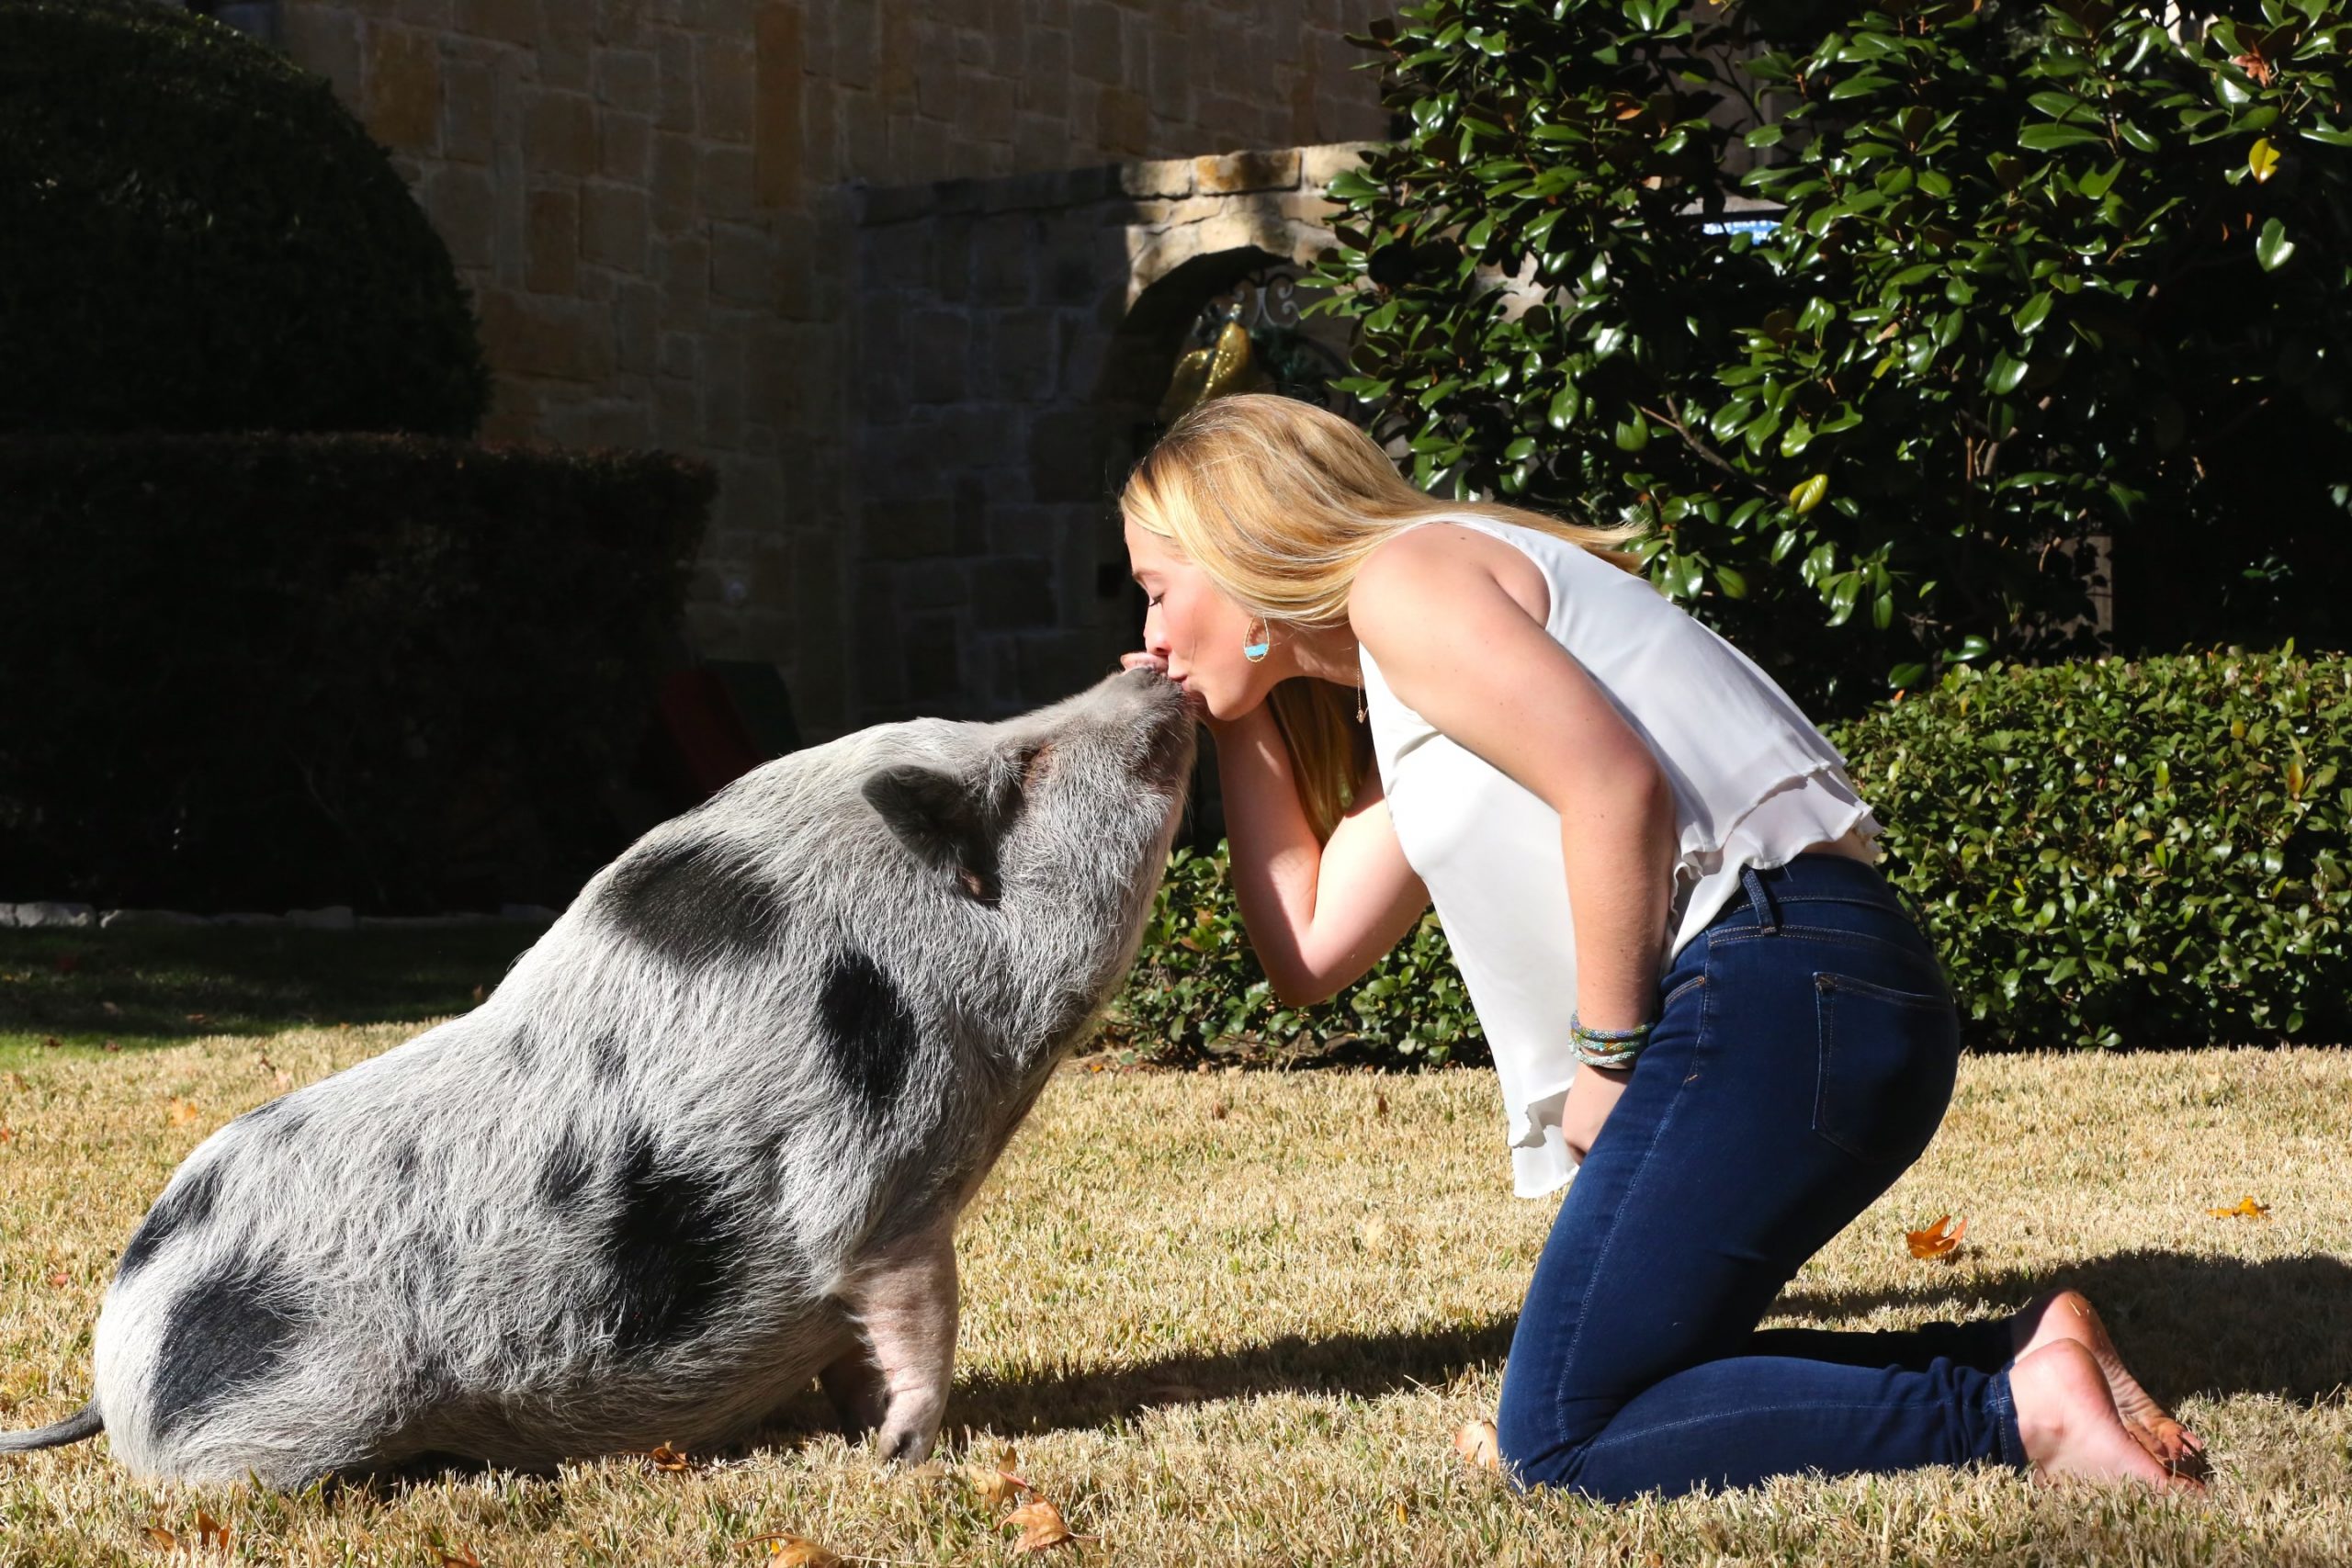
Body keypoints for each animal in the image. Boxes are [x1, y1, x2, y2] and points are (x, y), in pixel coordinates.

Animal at [5, 658, 1194, 1485]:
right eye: (1023, 770)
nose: (1157, 666)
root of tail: (120, 1342)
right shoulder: (873, 1178)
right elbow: (915, 1311)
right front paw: (903, 1454)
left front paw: (863, 1431)